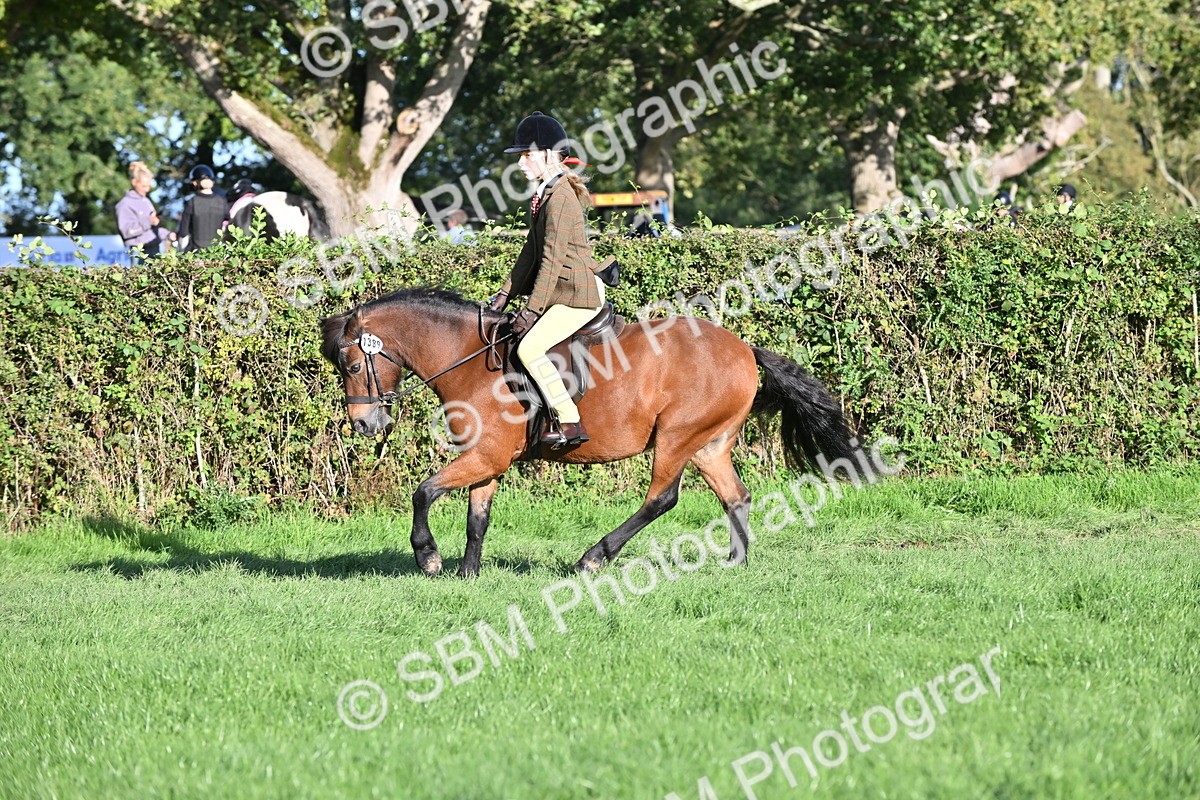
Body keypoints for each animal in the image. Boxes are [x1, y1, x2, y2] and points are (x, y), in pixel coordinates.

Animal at [320, 288, 857, 578]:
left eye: (352, 365)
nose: (364, 424)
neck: (470, 360)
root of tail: (744, 348)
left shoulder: (486, 456)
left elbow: (423, 492)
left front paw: (429, 558)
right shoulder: (486, 459)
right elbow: (477, 518)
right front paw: (468, 575)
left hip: (676, 437)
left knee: (662, 499)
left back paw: (594, 558)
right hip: (710, 444)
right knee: (736, 496)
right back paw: (734, 562)